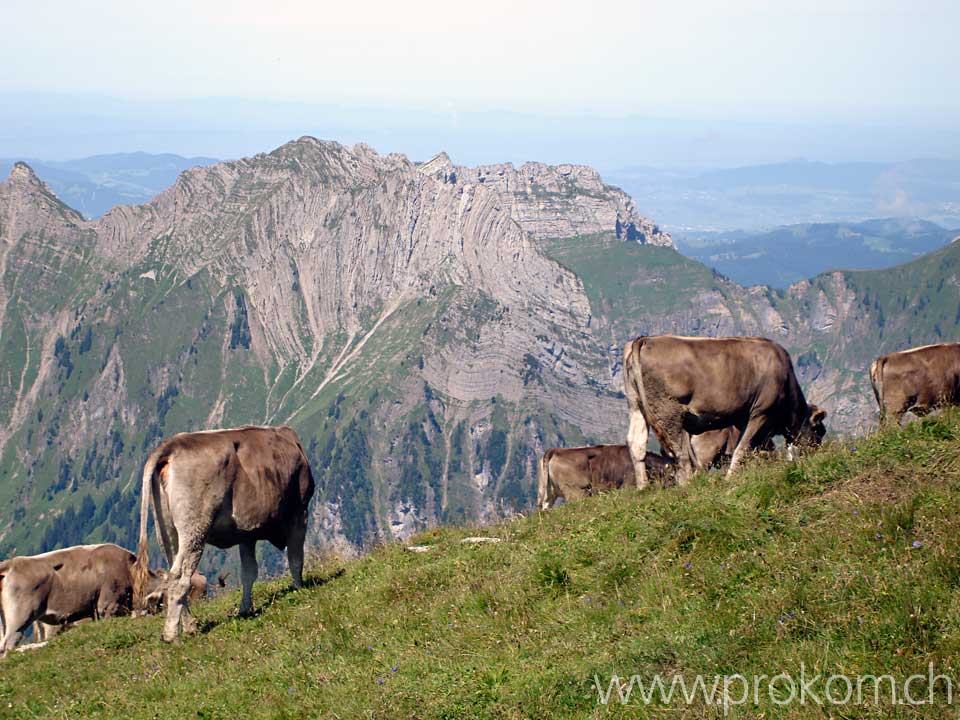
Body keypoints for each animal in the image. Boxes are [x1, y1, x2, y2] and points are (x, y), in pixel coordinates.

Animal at [133, 428, 316, 640]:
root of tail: (173, 444)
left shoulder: (247, 533)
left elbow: (249, 572)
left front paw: (245, 608)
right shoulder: (300, 512)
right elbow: (296, 558)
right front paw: (299, 589)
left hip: (166, 530)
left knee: (172, 575)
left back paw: (189, 626)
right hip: (194, 529)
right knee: (179, 577)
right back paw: (172, 634)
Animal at [624, 334, 824, 486]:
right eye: (819, 431)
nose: (817, 453)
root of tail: (646, 339)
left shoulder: (745, 421)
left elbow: (757, 449)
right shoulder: (760, 412)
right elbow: (742, 449)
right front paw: (730, 479)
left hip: (636, 405)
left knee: (637, 443)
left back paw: (643, 487)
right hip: (669, 412)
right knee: (678, 452)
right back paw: (686, 485)